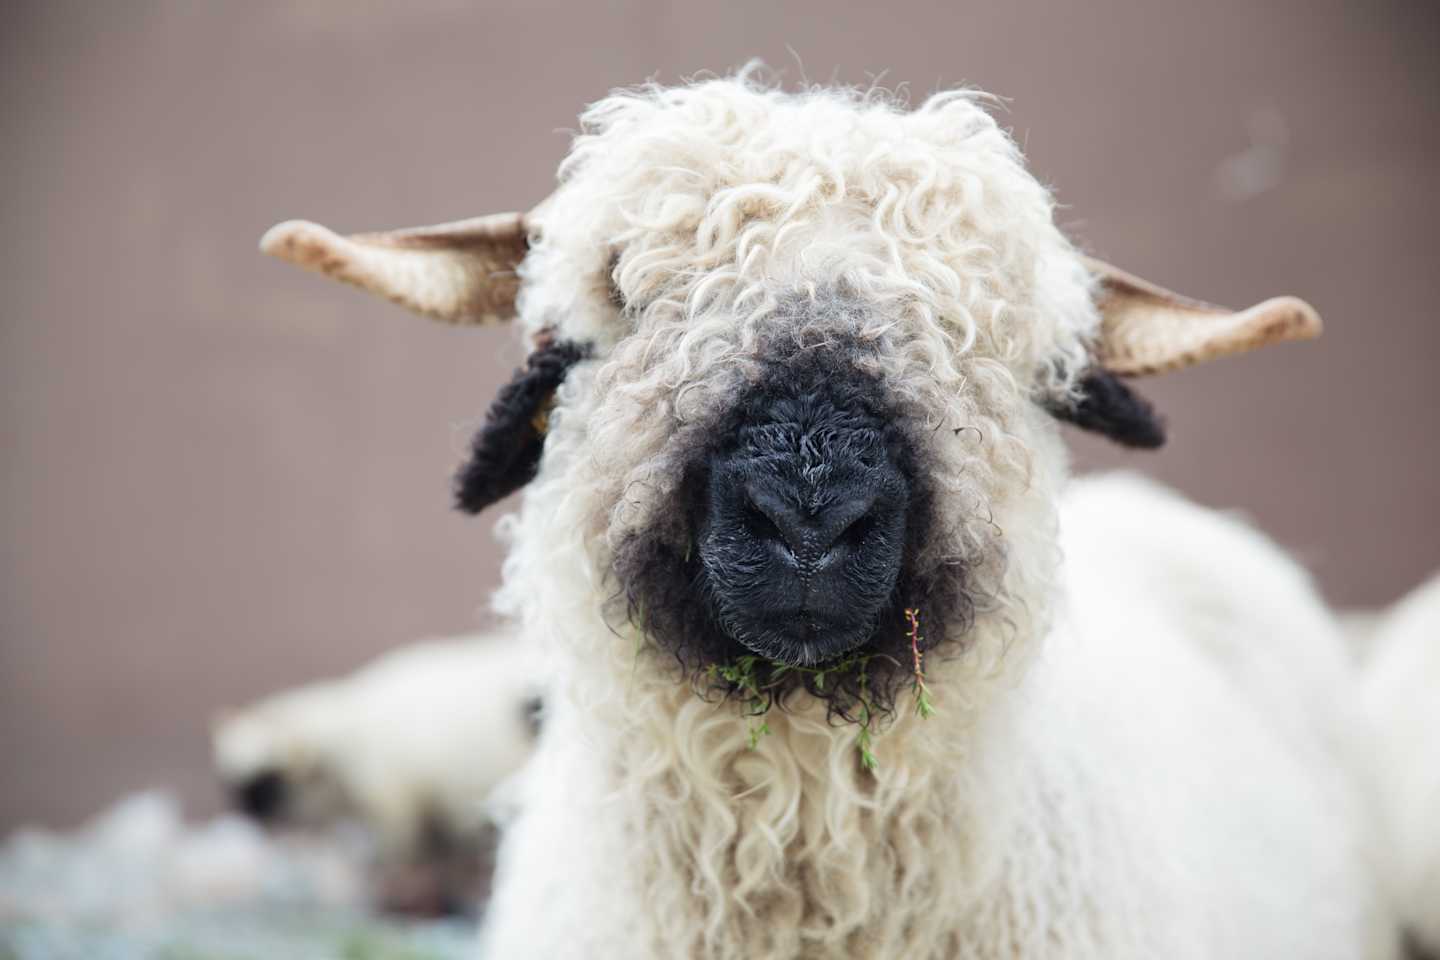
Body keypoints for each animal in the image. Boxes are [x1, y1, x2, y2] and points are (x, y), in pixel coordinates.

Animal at [213, 629, 541, 913]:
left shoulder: (397, 811)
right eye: (233, 782)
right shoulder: (432, 817)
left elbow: (400, 865)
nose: (251, 818)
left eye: (269, 782)